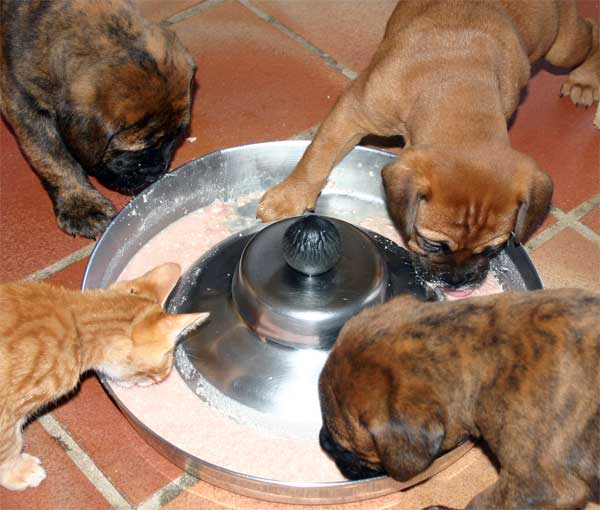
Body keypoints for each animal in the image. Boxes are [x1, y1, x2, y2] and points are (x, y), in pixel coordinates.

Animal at [0, 0, 195, 238]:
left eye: (177, 137)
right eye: (137, 150)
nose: (156, 174)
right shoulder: (22, 102)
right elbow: (53, 159)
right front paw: (82, 206)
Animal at [0, 262, 207, 490]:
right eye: (162, 367)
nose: (162, 378)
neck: (75, 322)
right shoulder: (6, 413)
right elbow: (9, 444)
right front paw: (17, 472)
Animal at [255, 0, 596, 286]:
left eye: (492, 250)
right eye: (433, 243)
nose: (460, 282)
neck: (458, 85)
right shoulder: (352, 111)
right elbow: (318, 153)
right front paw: (290, 196)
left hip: (562, 46)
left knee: (591, 32)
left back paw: (585, 80)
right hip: (562, 49)